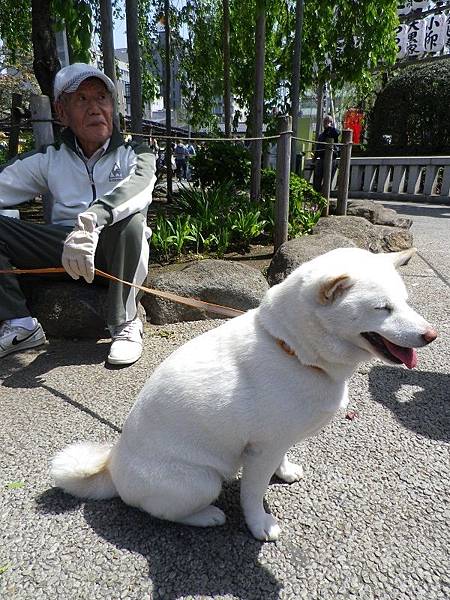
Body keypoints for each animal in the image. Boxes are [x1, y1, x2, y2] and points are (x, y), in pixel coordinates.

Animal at [50, 246, 436, 540]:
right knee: (161, 512)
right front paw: (259, 525)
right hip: (202, 481)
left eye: (405, 302)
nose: (431, 335)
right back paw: (206, 516)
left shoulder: (277, 441)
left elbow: (280, 460)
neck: (293, 350)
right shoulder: (259, 450)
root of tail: (112, 467)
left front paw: (285, 472)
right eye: (383, 308)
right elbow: (253, 494)